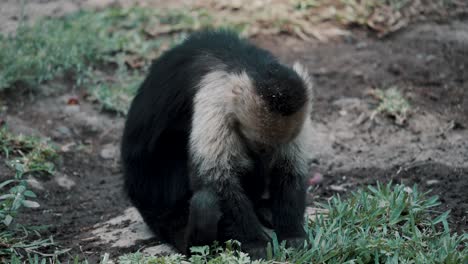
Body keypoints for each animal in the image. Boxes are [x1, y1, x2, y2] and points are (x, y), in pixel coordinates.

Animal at [120, 29, 312, 258]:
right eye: (260, 146)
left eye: (278, 145)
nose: (266, 155)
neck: (243, 61)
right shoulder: (215, 97)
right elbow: (216, 179)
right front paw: (255, 243)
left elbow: (290, 168)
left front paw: (293, 233)